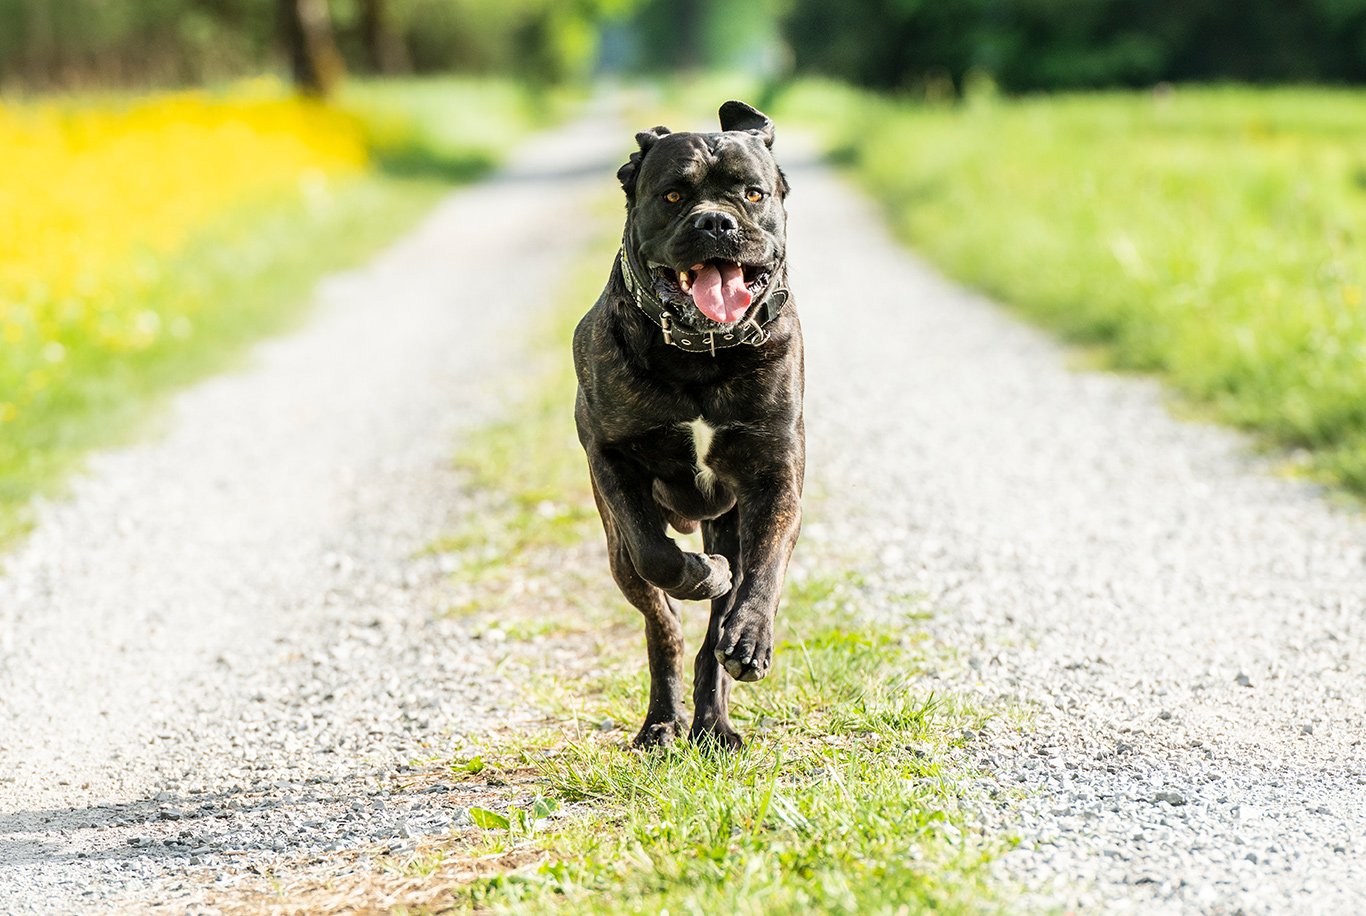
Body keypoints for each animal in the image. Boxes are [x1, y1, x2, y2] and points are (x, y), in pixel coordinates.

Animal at [573, 100, 803, 748]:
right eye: (673, 196)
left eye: (752, 193)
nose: (716, 223)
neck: (703, 354)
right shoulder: (612, 460)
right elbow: (657, 555)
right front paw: (701, 575)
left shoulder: (777, 474)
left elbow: (766, 568)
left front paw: (750, 636)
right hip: (615, 549)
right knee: (664, 624)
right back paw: (663, 720)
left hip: (730, 520)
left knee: (712, 637)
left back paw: (715, 721)